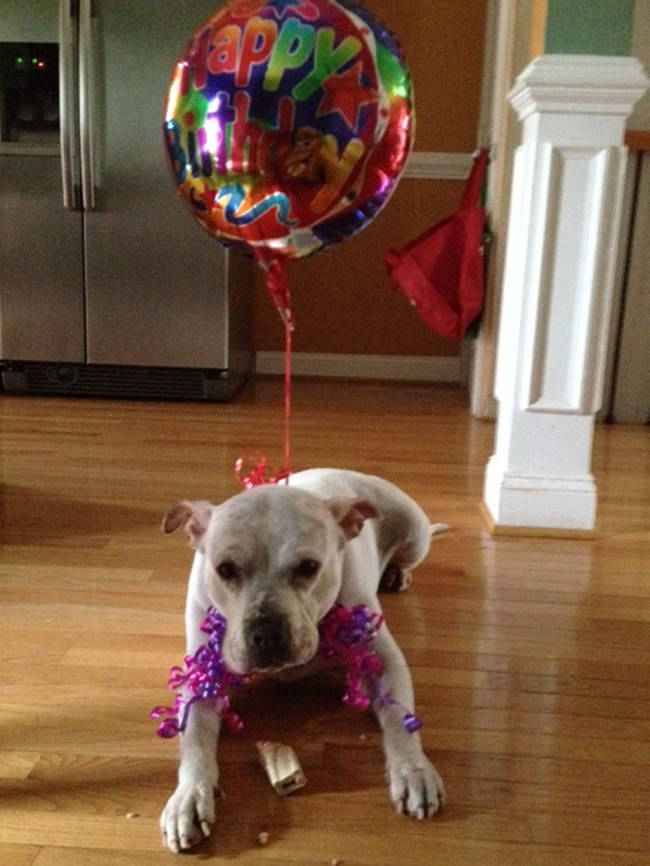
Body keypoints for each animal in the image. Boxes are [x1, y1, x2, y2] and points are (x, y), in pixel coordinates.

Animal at [157, 470, 442, 848]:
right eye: (225, 569)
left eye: (309, 567)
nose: (266, 633)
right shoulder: (203, 678)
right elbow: (194, 740)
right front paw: (189, 794)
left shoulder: (384, 662)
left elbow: (399, 718)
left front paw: (413, 769)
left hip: (415, 534)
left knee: (405, 555)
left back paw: (397, 571)